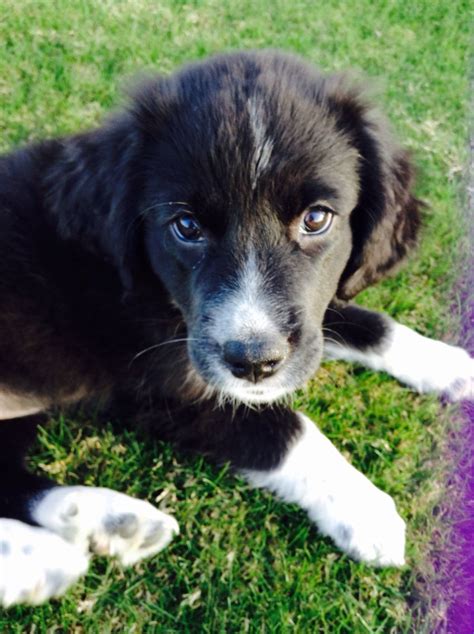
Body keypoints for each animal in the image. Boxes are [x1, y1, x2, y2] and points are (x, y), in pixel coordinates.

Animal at [0, 49, 474, 604]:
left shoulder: (306, 319)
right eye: (186, 227)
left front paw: (450, 364)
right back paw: (38, 559)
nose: (254, 364)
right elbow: (290, 430)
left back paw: (108, 524)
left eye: (317, 218)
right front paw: (364, 508)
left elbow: (363, 322)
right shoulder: (165, 389)